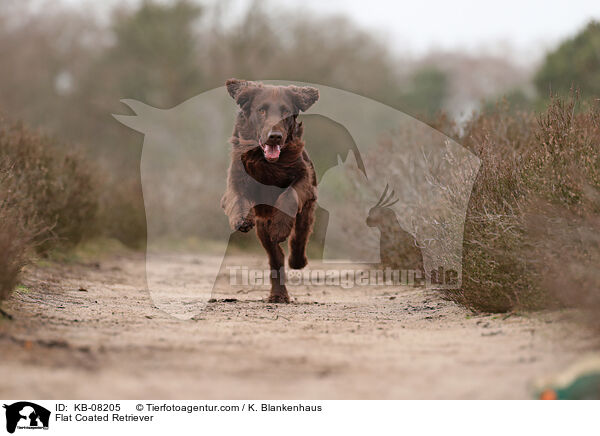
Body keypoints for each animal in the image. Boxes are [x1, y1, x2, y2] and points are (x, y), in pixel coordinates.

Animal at [221, 79, 318, 304]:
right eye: (262, 110)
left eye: (286, 111)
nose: (275, 136)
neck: (268, 163)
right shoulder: (235, 180)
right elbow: (238, 198)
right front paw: (242, 220)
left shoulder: (304, 178)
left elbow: (290, 195)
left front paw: (280, 228)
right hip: (262, 227)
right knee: (276, 257)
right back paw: (278, 294)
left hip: (306, 211)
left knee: (299, 237)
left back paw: (297, 260)